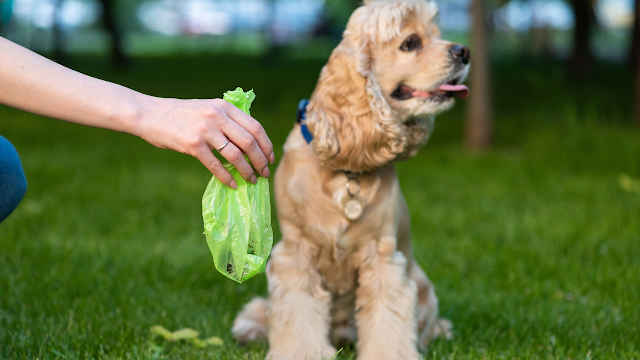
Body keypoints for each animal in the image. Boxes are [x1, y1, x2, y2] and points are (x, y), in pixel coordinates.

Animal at [232, 1, 468, 358]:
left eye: (436, 34)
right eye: (411, 42)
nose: (464, 51)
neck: (347, 169)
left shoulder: (383, 257)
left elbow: (388, 320)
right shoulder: (295, 253)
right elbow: (297, 314)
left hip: (424, 288)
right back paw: (249, 329)